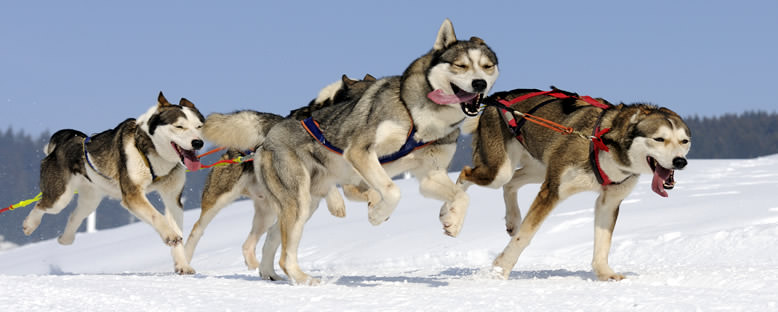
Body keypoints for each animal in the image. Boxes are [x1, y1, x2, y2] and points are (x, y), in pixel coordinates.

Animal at [23, 91, 205, 274]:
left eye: (199, 126)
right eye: (179, 126)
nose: (198, 143)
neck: (153, 153)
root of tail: (67, 139)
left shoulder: (172, 198)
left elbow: (176, 229)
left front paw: (182, 264)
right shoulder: (132, 195)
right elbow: (157, 216)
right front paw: (169, 234)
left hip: (90, 200)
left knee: (74, 216)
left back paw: (65, 238)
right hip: (60, 197)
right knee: (41, 205)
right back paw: (29, 225)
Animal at [183, 73, 376, 270]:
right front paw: (338, 203)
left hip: (267, 213)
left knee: (248, 244)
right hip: (219, 200)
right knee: (196, 230)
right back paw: (184, 263)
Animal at [458, 88, 688, 280]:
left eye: (684, 141)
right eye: (659, 139)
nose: (680, 161)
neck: (604, 144)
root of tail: (498, 97)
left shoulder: (609, 201)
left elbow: (603, 242)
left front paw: (605, 273)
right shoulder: (552, 192)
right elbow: (525, 236)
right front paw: (500, 270)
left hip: (538, 169)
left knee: (511, 183)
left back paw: (513, 219)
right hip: (499, 171)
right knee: (465, 174)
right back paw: (453, 217)